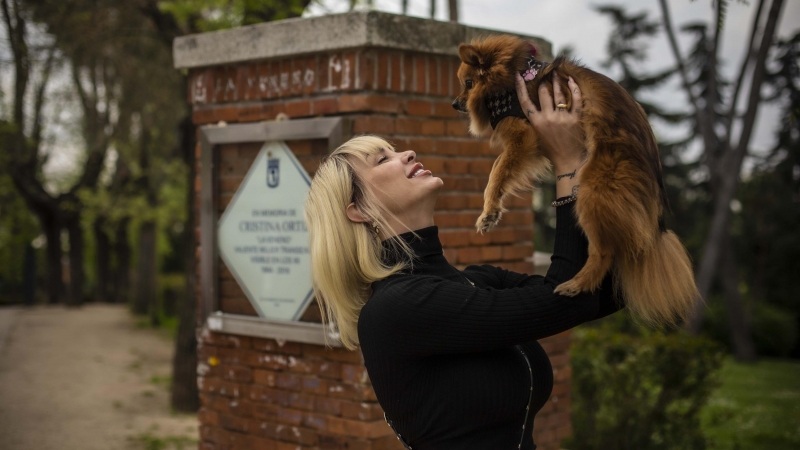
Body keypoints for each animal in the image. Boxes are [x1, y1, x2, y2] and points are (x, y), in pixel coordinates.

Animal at [454, 34, 696, 324]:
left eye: (468, 83)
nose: (455, 104)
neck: (513, 75)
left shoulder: (522, 138)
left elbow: (496, 172)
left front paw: (489, 211)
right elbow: (498, 171)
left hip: (594, 191)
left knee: (604, 251)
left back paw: (578, 284)